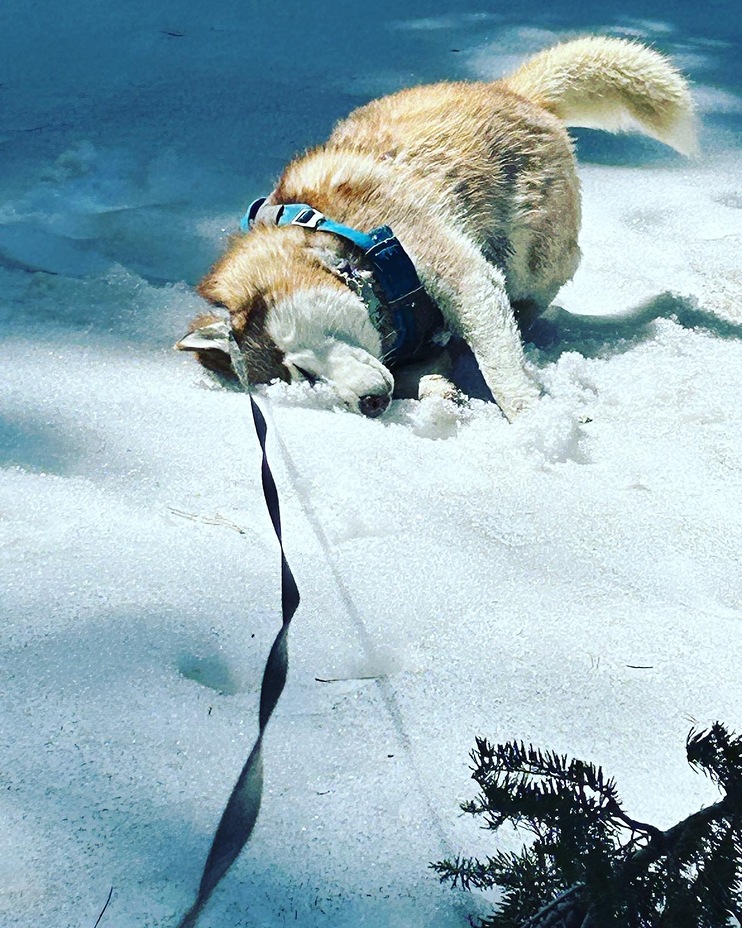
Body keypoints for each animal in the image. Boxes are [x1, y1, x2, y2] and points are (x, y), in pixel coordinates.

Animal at [180, 36, 696, 420]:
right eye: (305, 389)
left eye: (302, 374)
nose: (368, 406)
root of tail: (512, 91)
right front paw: (434, 387)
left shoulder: (454, 269)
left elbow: (498, 360)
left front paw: (533, 420)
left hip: (535, 254)